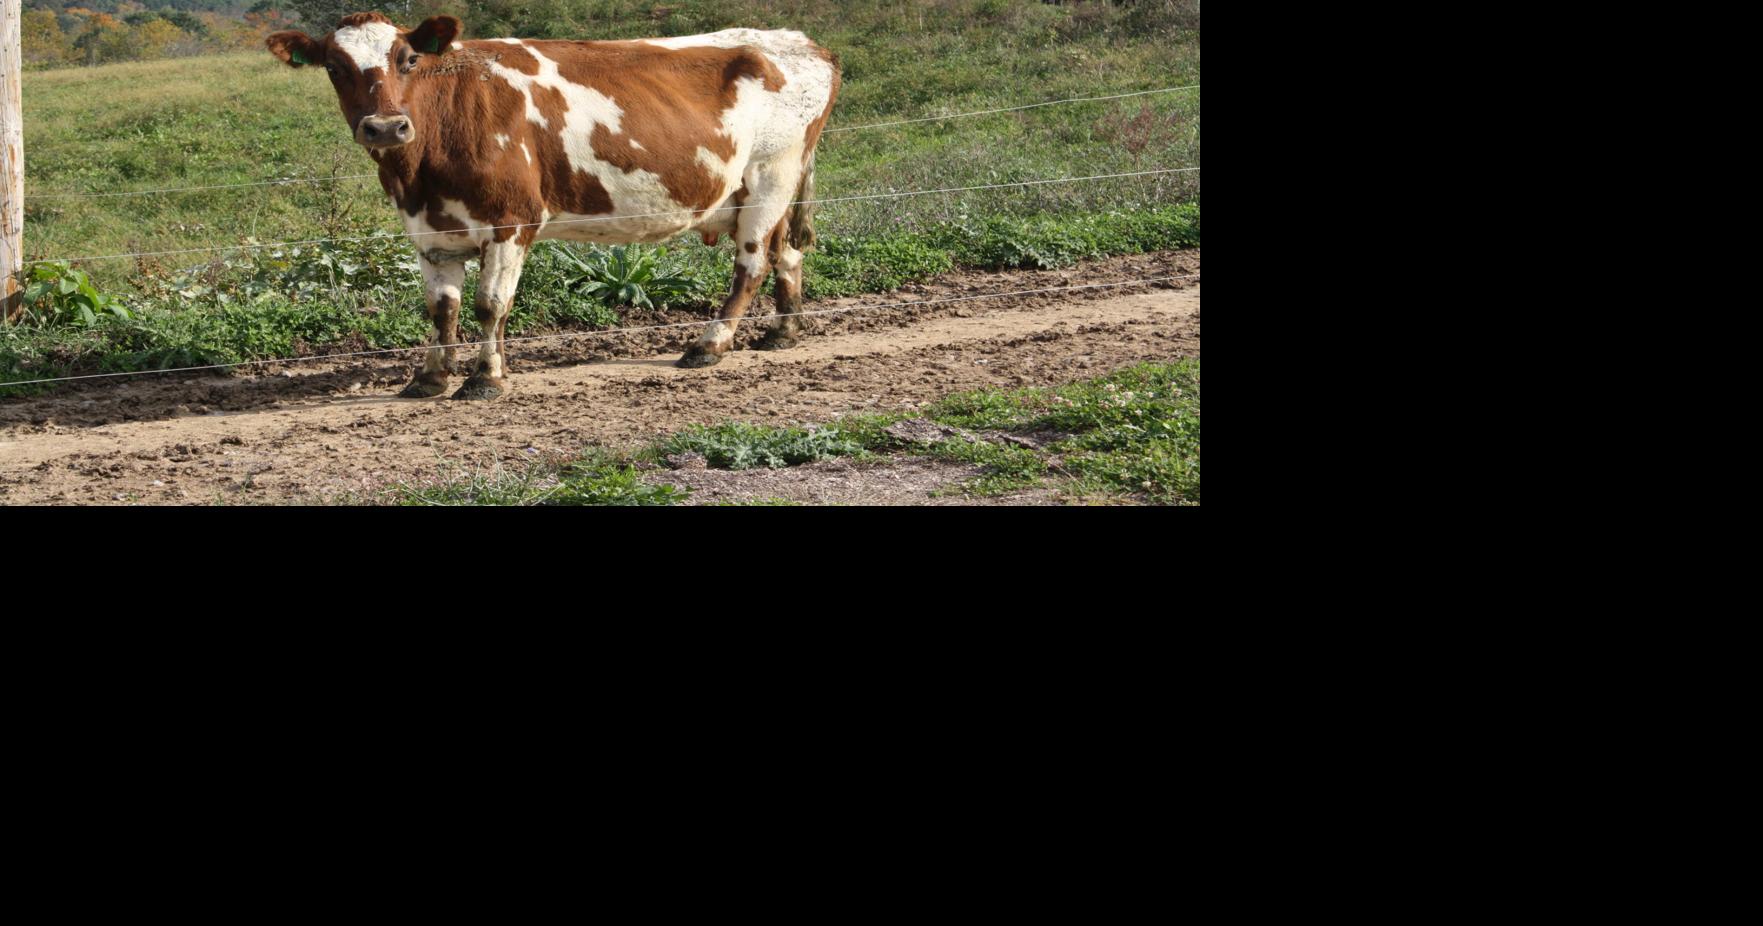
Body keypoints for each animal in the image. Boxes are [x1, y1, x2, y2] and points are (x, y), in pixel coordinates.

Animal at [266, 12, 840, 399]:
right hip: (770, 188)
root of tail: (797, 40)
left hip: (771, 175)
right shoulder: (430, 233)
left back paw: (709, 345)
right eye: (334, 67)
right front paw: (430, 377)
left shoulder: (510, 222)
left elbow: (489, 305)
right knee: (787, 253)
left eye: (407, 59)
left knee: (752, 265)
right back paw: (783, 332)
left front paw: (485, 378)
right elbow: (441, 308)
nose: (385, 127)